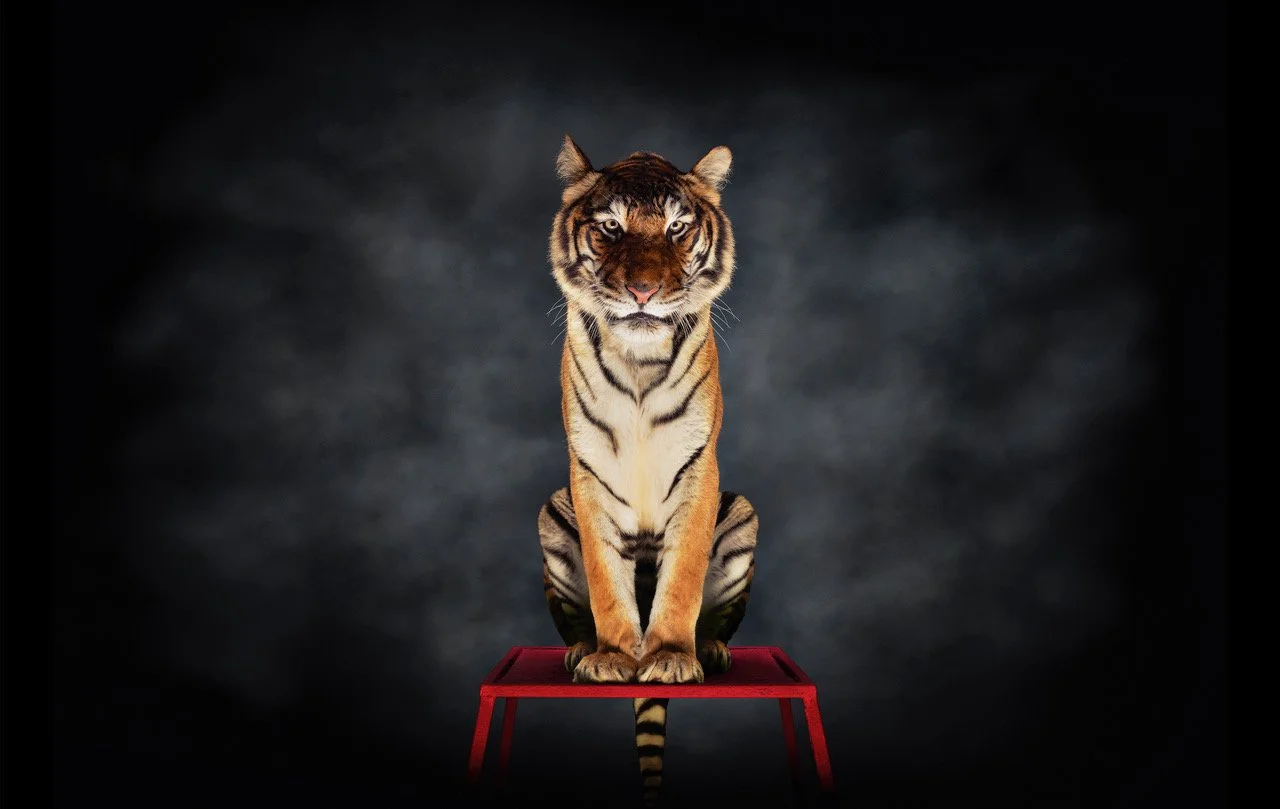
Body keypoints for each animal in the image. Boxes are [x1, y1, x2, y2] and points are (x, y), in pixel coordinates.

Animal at [537, 135, 760, 807]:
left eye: (677, 227)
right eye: (611, 227)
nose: (641, 292)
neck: (638, 360)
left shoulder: (698, 469)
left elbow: (682, 577)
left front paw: (669, 657)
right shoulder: (585, 471)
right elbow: (607, 582)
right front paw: (614, 657)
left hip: (742, 512)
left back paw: (710, 650)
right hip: (551, 509)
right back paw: (580, 653)